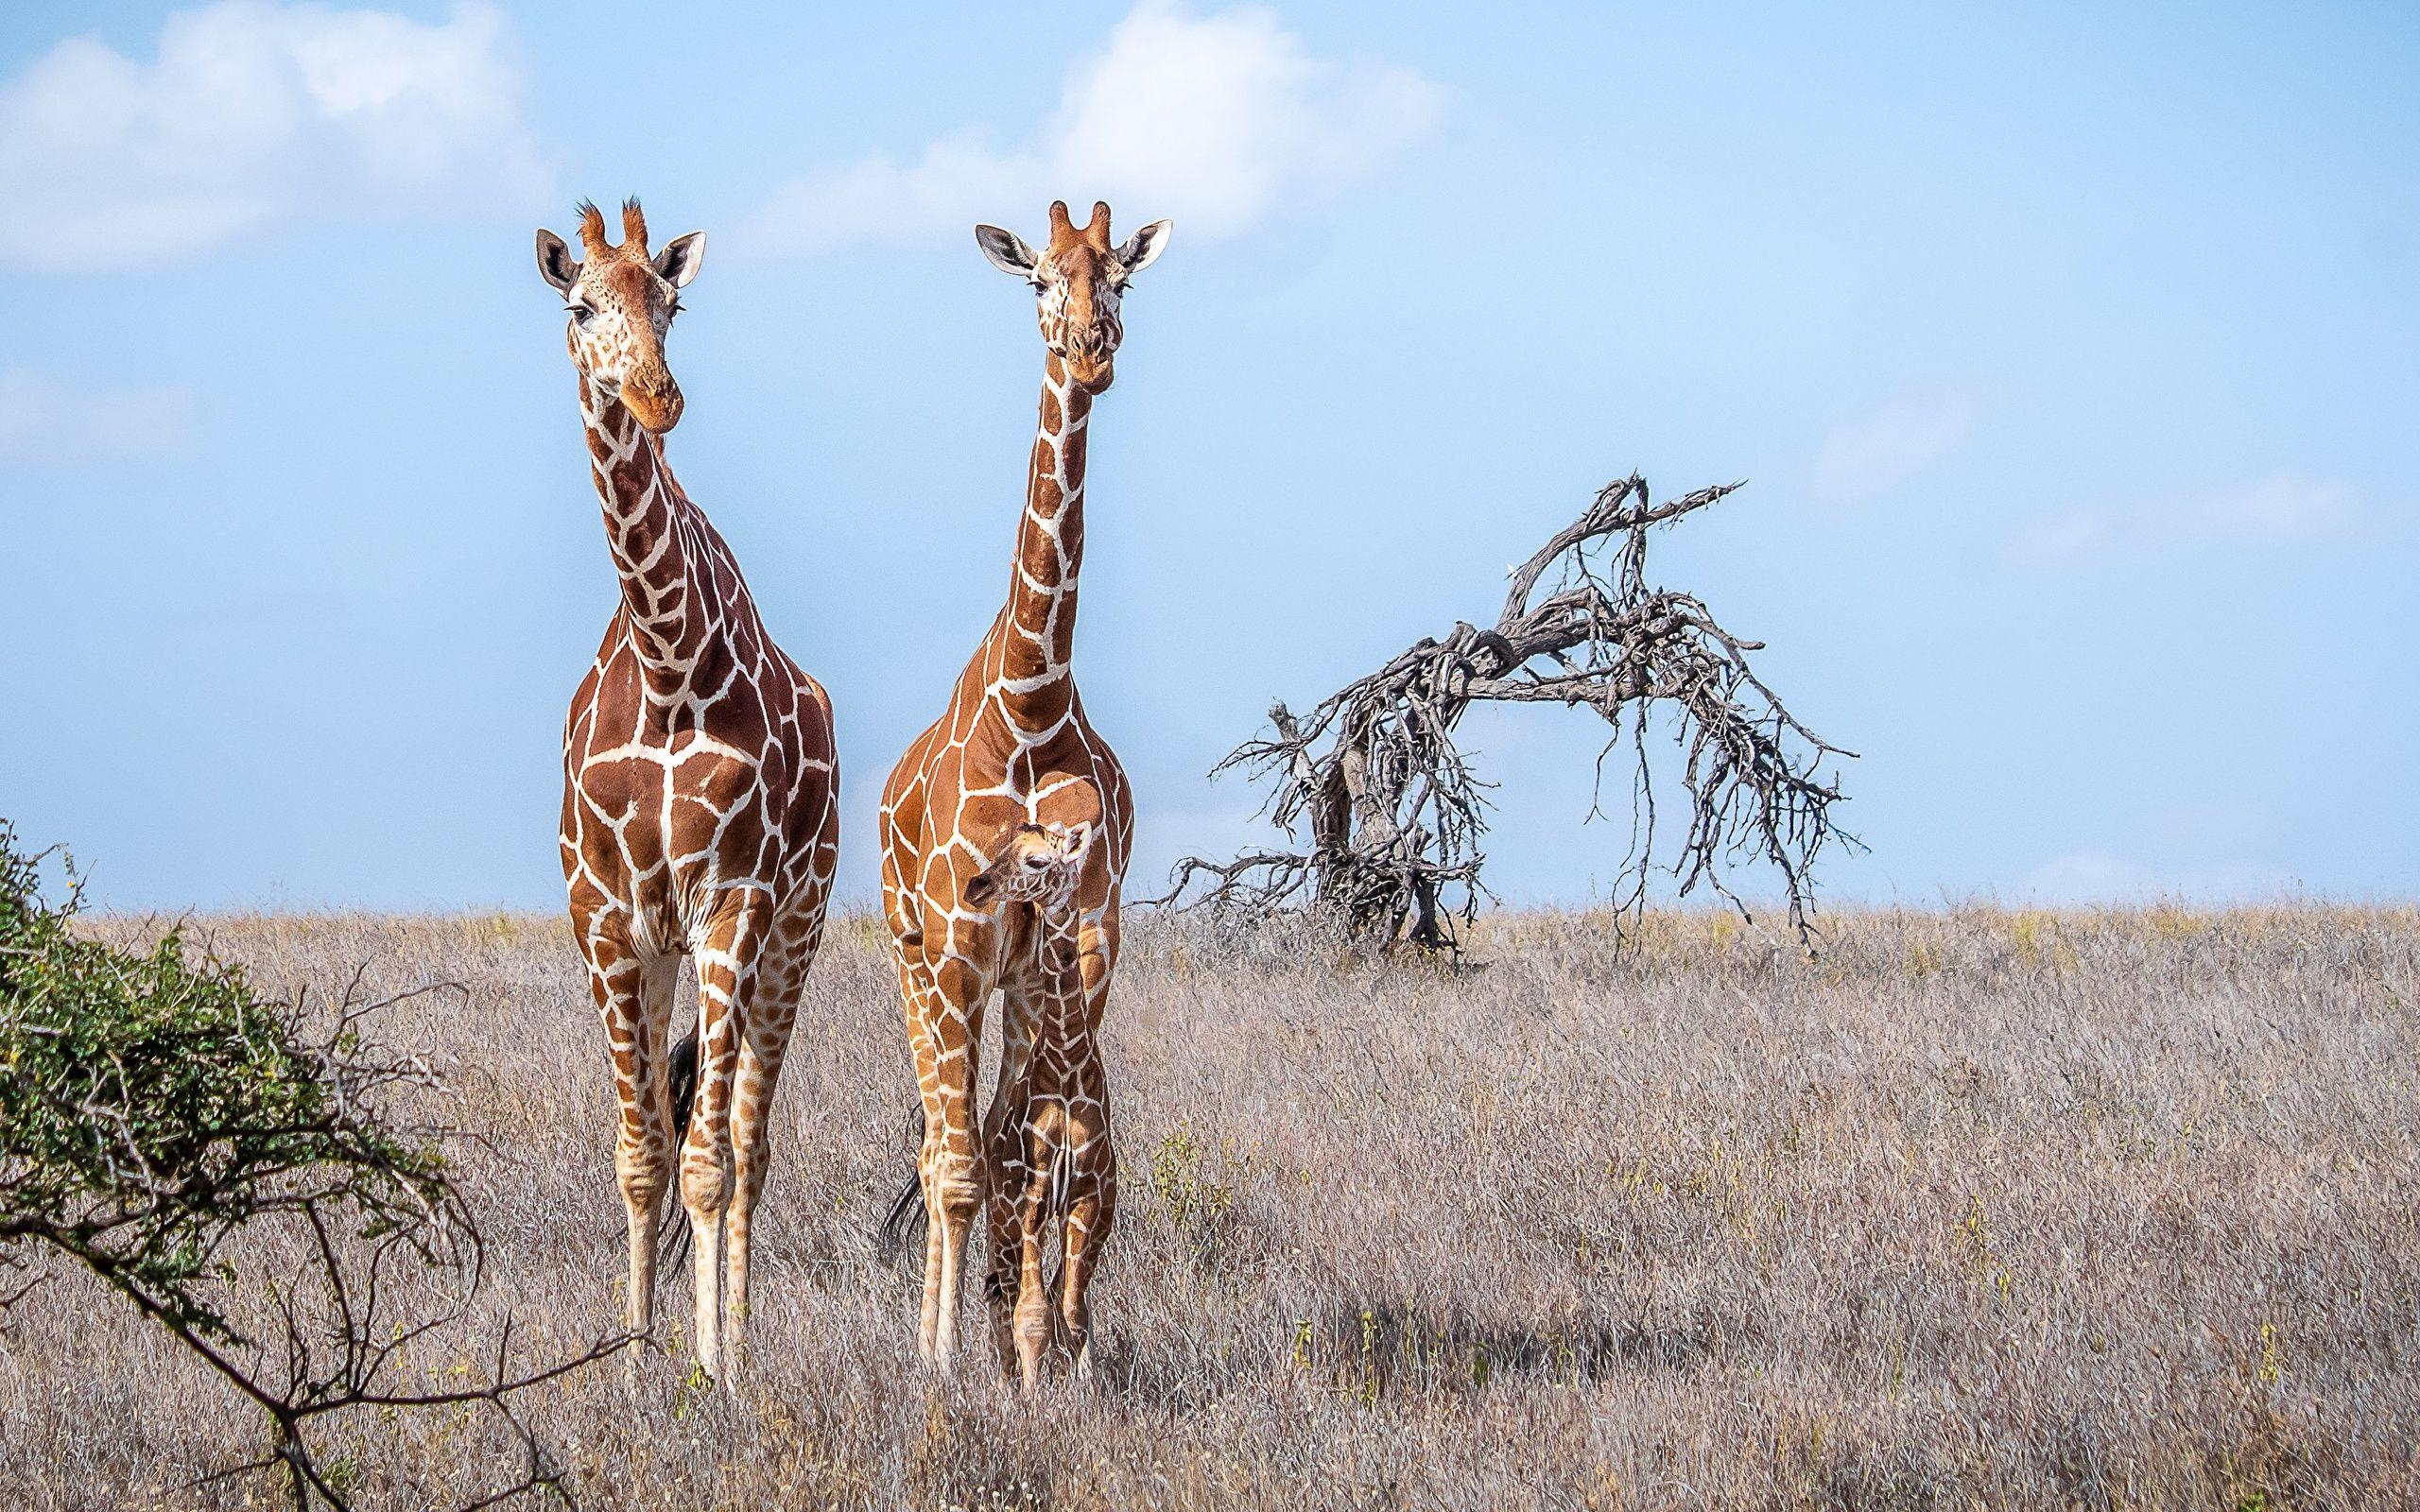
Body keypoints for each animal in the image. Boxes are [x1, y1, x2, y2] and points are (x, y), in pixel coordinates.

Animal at [535, 199, 840, 1381]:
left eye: (670, 301)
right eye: (581, 304)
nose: (656, 397)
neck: (669, 662)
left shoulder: (733, 901)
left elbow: (710, 1161)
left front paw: (714, 1372)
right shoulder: (608, 917)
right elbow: (640, 1156)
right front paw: (629, 1363)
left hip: (793, 932)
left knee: (747, 1143)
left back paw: (740, 1343)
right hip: (671, 949)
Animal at [877, 199, 1170, 1369]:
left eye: (1120, 279)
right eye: (1039, 277)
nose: (1089, 349)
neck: (1032, 698)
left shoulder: (1088, 927)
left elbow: (1056, 1141)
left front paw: (1048, 1333)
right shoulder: (962, 937)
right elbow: (966, 1163)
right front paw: (949, 1360)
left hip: (1012, 977)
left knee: (1006, 1132)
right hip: (918, 960)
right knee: (940, 1147)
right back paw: (946, 1337)